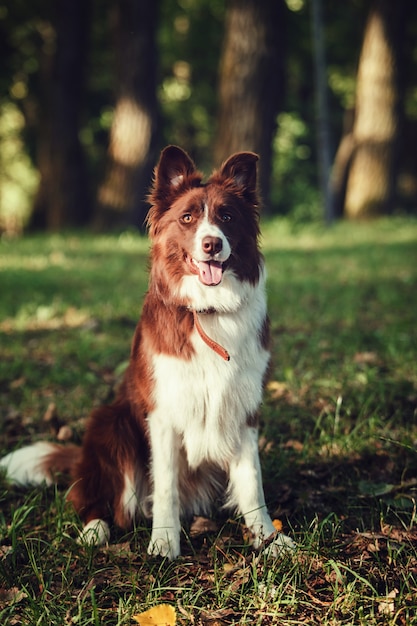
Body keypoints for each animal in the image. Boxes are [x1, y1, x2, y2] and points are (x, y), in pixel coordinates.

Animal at [0, 146, 292, 556]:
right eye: (187, 218)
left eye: (227, 217)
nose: (212, 244)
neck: (207, 311)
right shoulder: (163, 412)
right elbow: (165, 486)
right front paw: (164, 543)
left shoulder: (244, 409)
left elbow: (252, 482)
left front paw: (269, 538)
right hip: (112, 424)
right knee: (94, 499)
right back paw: (95, 530)